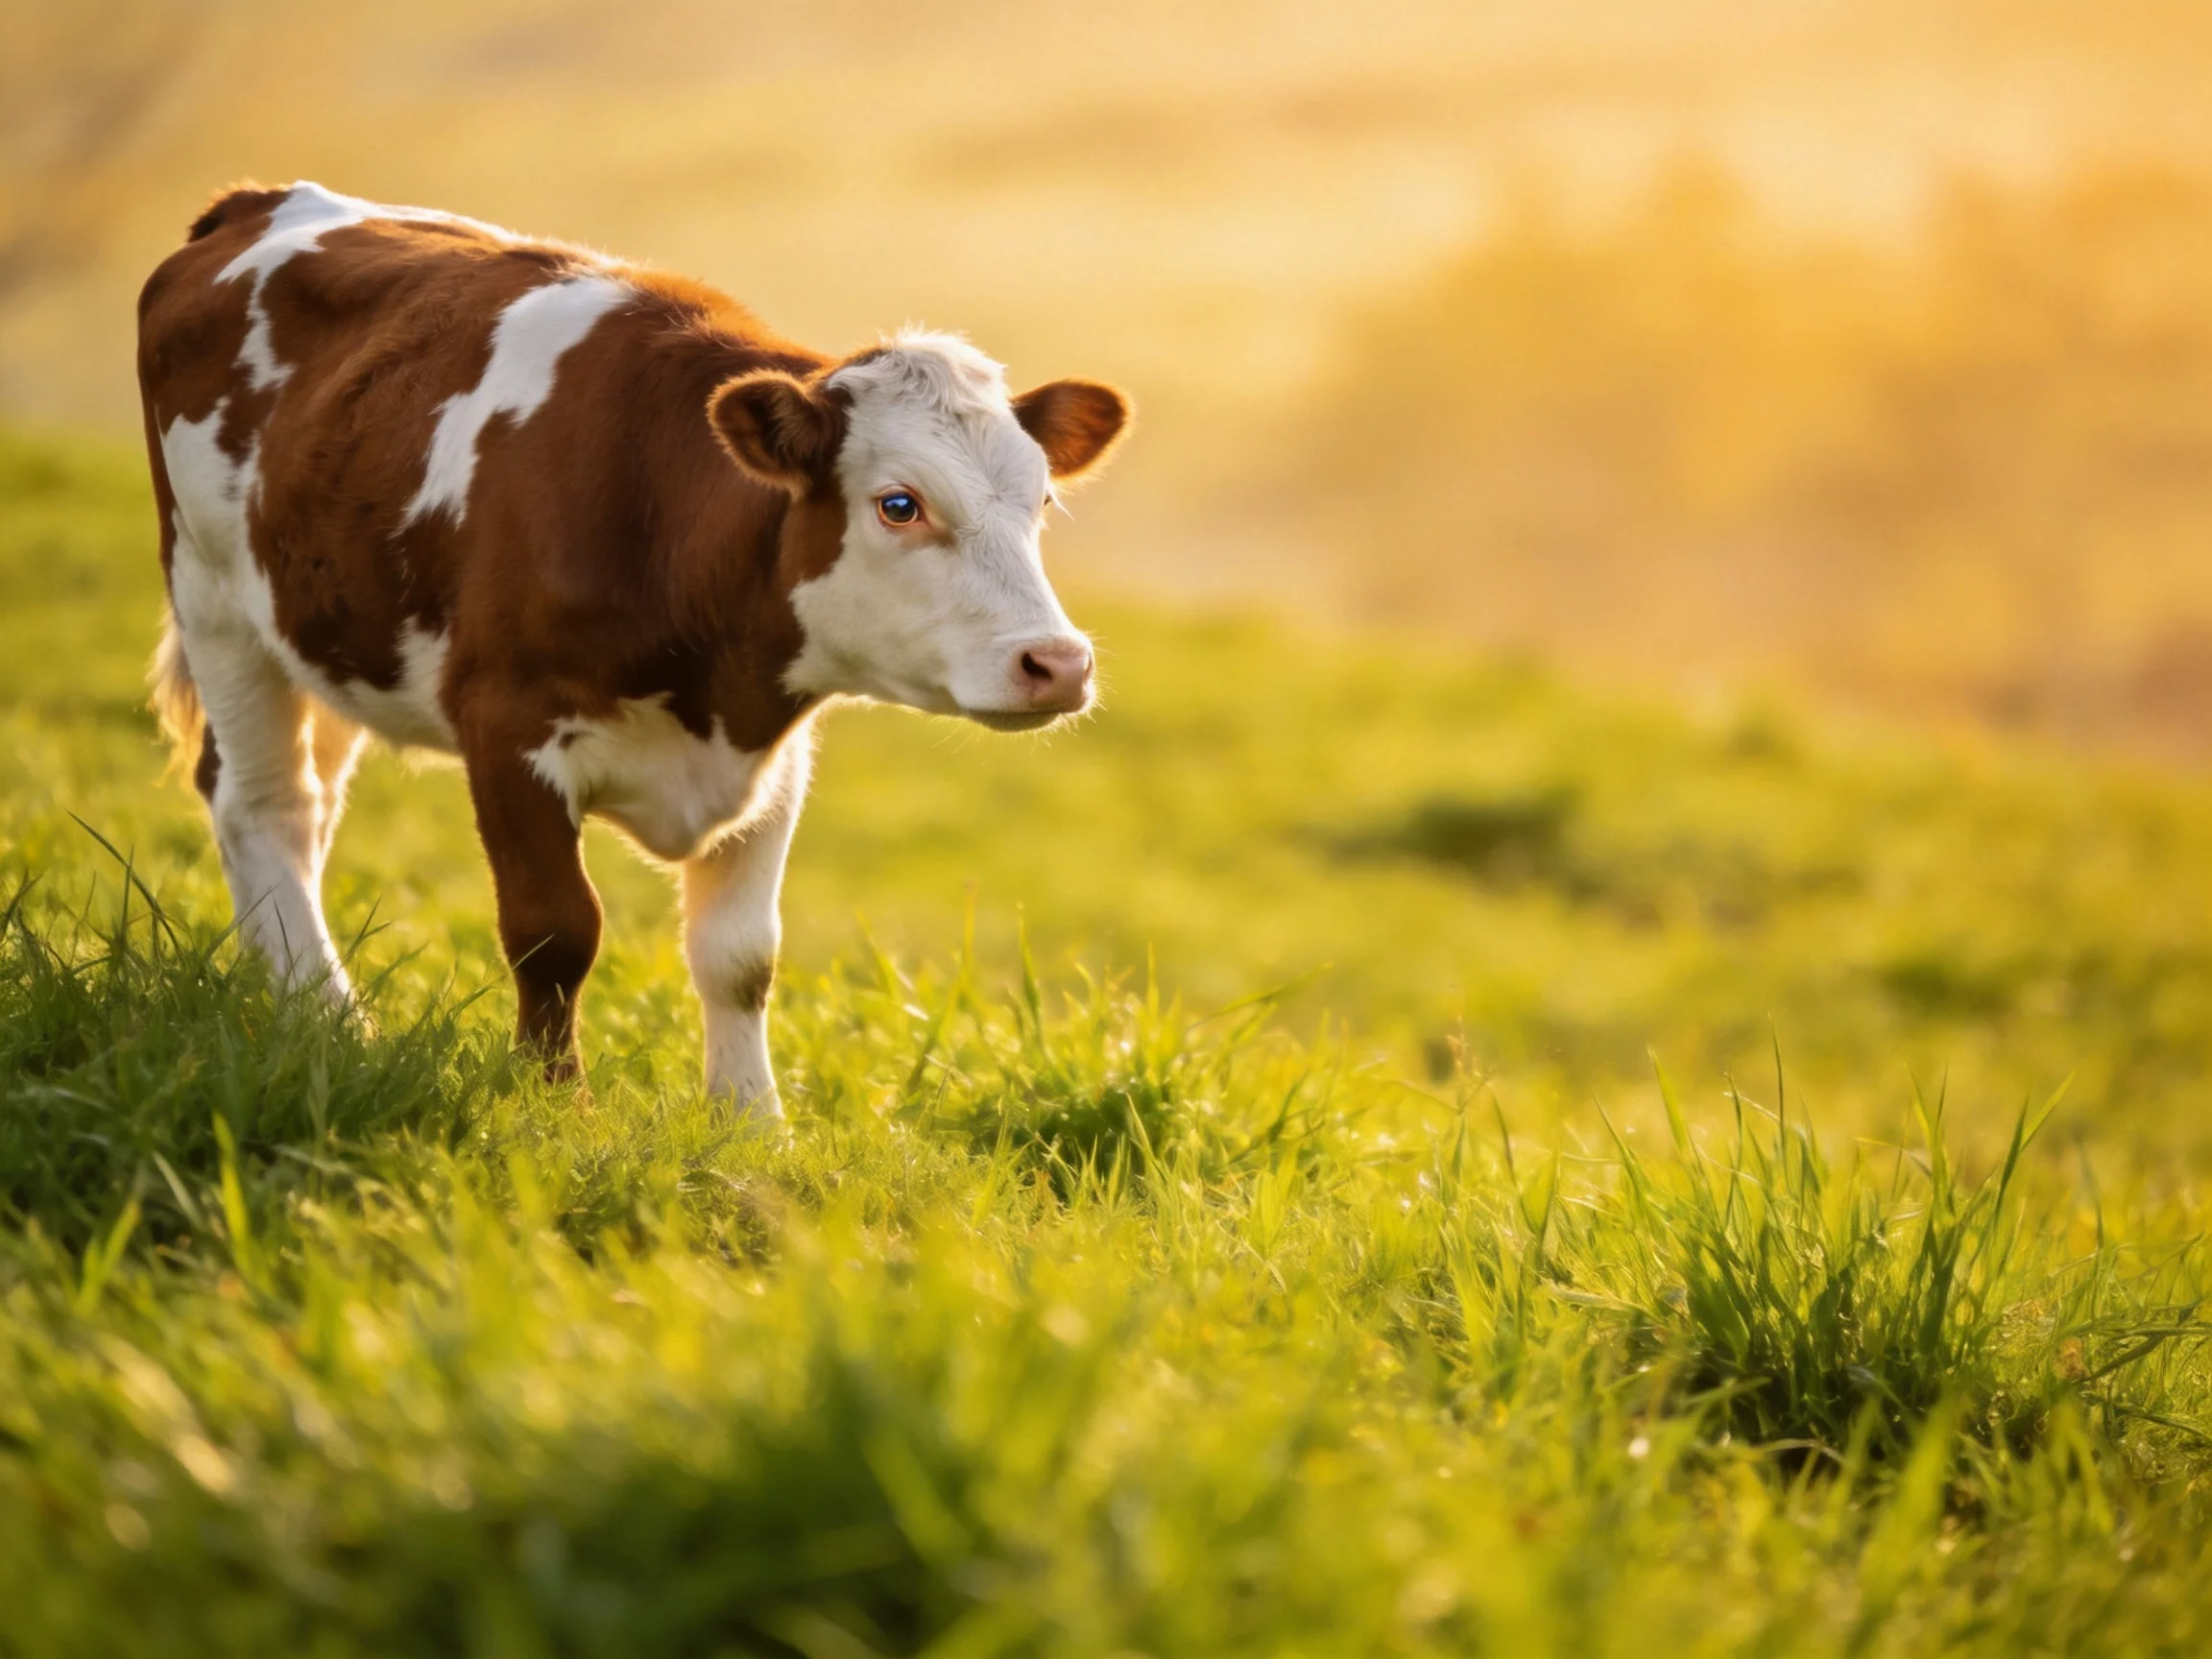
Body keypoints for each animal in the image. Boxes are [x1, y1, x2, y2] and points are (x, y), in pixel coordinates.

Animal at [137, 181, 1129, 1122]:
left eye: (1042, 500)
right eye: (898, 504)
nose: (1058, 663)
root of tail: (257, 200)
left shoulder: (775, 756)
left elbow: (741, 956)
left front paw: (751, 1126)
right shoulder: (505, 726)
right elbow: (555, 930)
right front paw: (554, 1101)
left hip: (327, 631)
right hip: (215, 597)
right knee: (264, 803)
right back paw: (326, 1016)